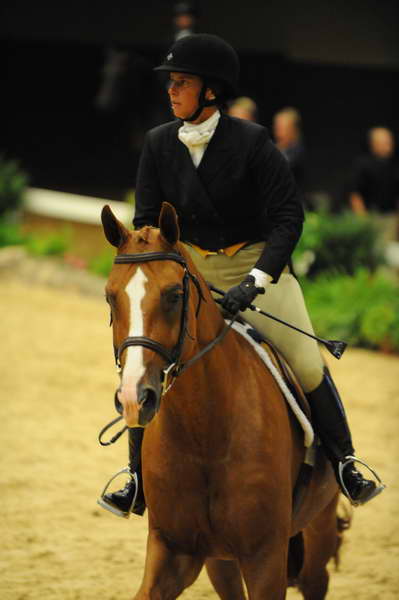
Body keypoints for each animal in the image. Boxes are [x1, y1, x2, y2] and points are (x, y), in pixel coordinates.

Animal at [101, 203, 346, 600]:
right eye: (110, 296)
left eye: (174, 295)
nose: (135, 397)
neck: (204, 433)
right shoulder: (173, 550)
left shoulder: (265, 558)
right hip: (220, 559)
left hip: (317, 530)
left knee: (315, 580)